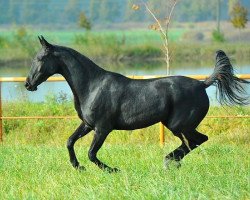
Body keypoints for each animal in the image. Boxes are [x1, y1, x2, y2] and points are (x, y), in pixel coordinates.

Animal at [24, 36, 248, 172]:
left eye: (40, 58)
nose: (28, 84)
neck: (92, 85)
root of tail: (203, 84)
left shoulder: (102, 128)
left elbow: (91, 153)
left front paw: (113, 170)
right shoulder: (88, 124)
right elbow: (70, 142)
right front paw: (78, 167)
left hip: (179, 125)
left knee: (196, 141)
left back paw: (169, 161)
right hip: (176, 126)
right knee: (193, 143)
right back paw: (171, 162)